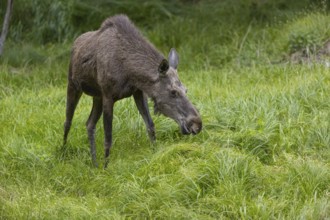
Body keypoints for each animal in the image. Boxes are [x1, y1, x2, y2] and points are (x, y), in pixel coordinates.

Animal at [62, 14, 201, 168]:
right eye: (173, 92)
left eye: (186, 89)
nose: (197, 124)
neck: (130, 72)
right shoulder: (108, 96)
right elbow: (108, 138)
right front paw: (106, 168)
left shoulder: (138, 92)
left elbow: (150, 126)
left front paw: (155, 154)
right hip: (73, 86)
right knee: (67, 121)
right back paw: (62, 153)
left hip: (97, 97)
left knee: (89, 124)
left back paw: (94, 163)